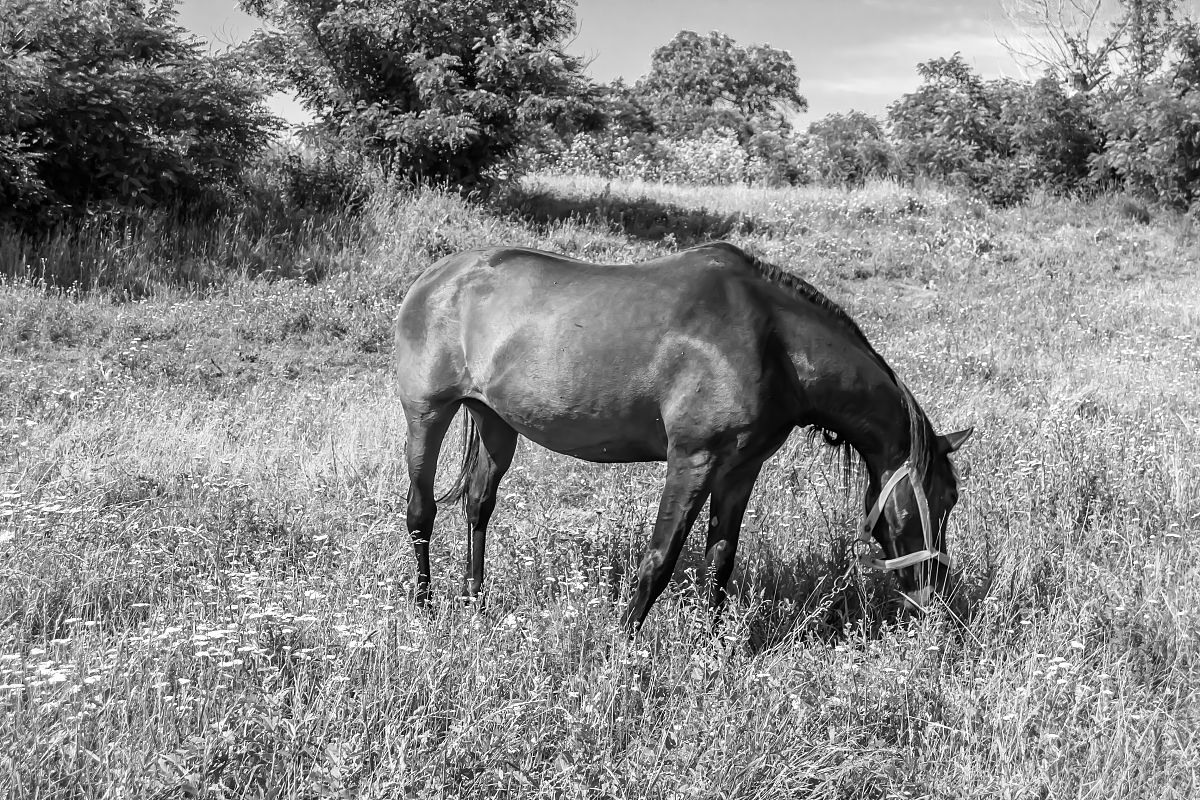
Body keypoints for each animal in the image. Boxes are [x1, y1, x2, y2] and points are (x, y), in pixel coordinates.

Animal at [393, 241, 972, 629]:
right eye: (941, 501)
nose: (935, 598)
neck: (772, 342)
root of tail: (436, 276)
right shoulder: (692, 461)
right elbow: (660, 558)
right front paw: (623, 648)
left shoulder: (740, 471)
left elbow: (721, 557)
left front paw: (712, 643)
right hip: (426, 415)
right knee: (421, 511)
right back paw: (425, 607)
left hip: (494, 420)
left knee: (477, 505)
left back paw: (473, 601)